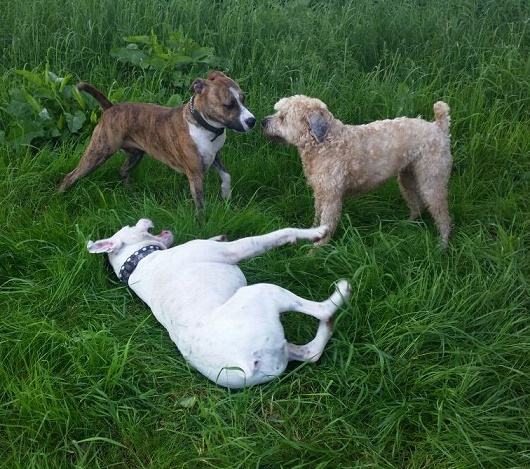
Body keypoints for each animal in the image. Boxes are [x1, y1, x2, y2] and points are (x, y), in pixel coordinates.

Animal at [59, 71, 256, 209]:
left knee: (123, 171)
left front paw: (226, 195)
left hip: (135, 154)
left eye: (243, 99)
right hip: (98, 152)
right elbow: (200, 204)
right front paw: (203, 225)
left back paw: (131, 193)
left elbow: (226, 175)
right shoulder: (195, 173)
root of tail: (110, 107)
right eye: (229, 105)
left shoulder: (214, 156)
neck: (203, 125)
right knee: (71, 176)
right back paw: (60, 195)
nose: (252, 121)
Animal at [87, 219, 351, 388]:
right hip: (262, 292)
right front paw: (316, 231)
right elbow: (277, 235)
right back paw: (342, 290)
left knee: (312, 353)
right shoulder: (235, 250)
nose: (144, 217)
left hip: (280, 350)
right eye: (131, 226)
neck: (138, 261)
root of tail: (244, 366)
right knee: (322, 311)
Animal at [262, 96, 453, 246]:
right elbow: (317, 218)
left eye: (283, 117)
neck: (325, 144)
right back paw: (408, 224)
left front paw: (315, 252)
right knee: (416, 204)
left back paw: (442, 245)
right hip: (408, 177)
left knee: (443, 215)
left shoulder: (332, 197)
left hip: (431, 180)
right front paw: (310, 234)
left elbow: (327, 223)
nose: (263, 121)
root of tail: (439, 127)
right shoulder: (320, 192)